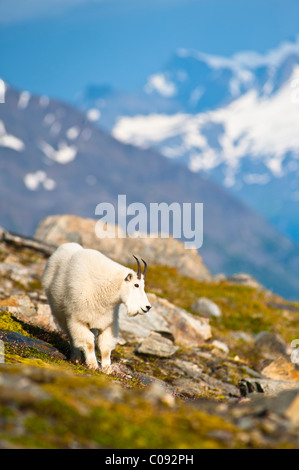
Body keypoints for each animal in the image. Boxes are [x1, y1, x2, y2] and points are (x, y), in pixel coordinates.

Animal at [41, 244, 152, 372]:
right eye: (136, 285)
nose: (147, 307)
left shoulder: (107, 323)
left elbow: (105, 346)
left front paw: (107, 369)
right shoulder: (78, 320)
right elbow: (88, 342)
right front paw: (93, 365)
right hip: (61, 315)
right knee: (72, 336)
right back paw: (76, 358)